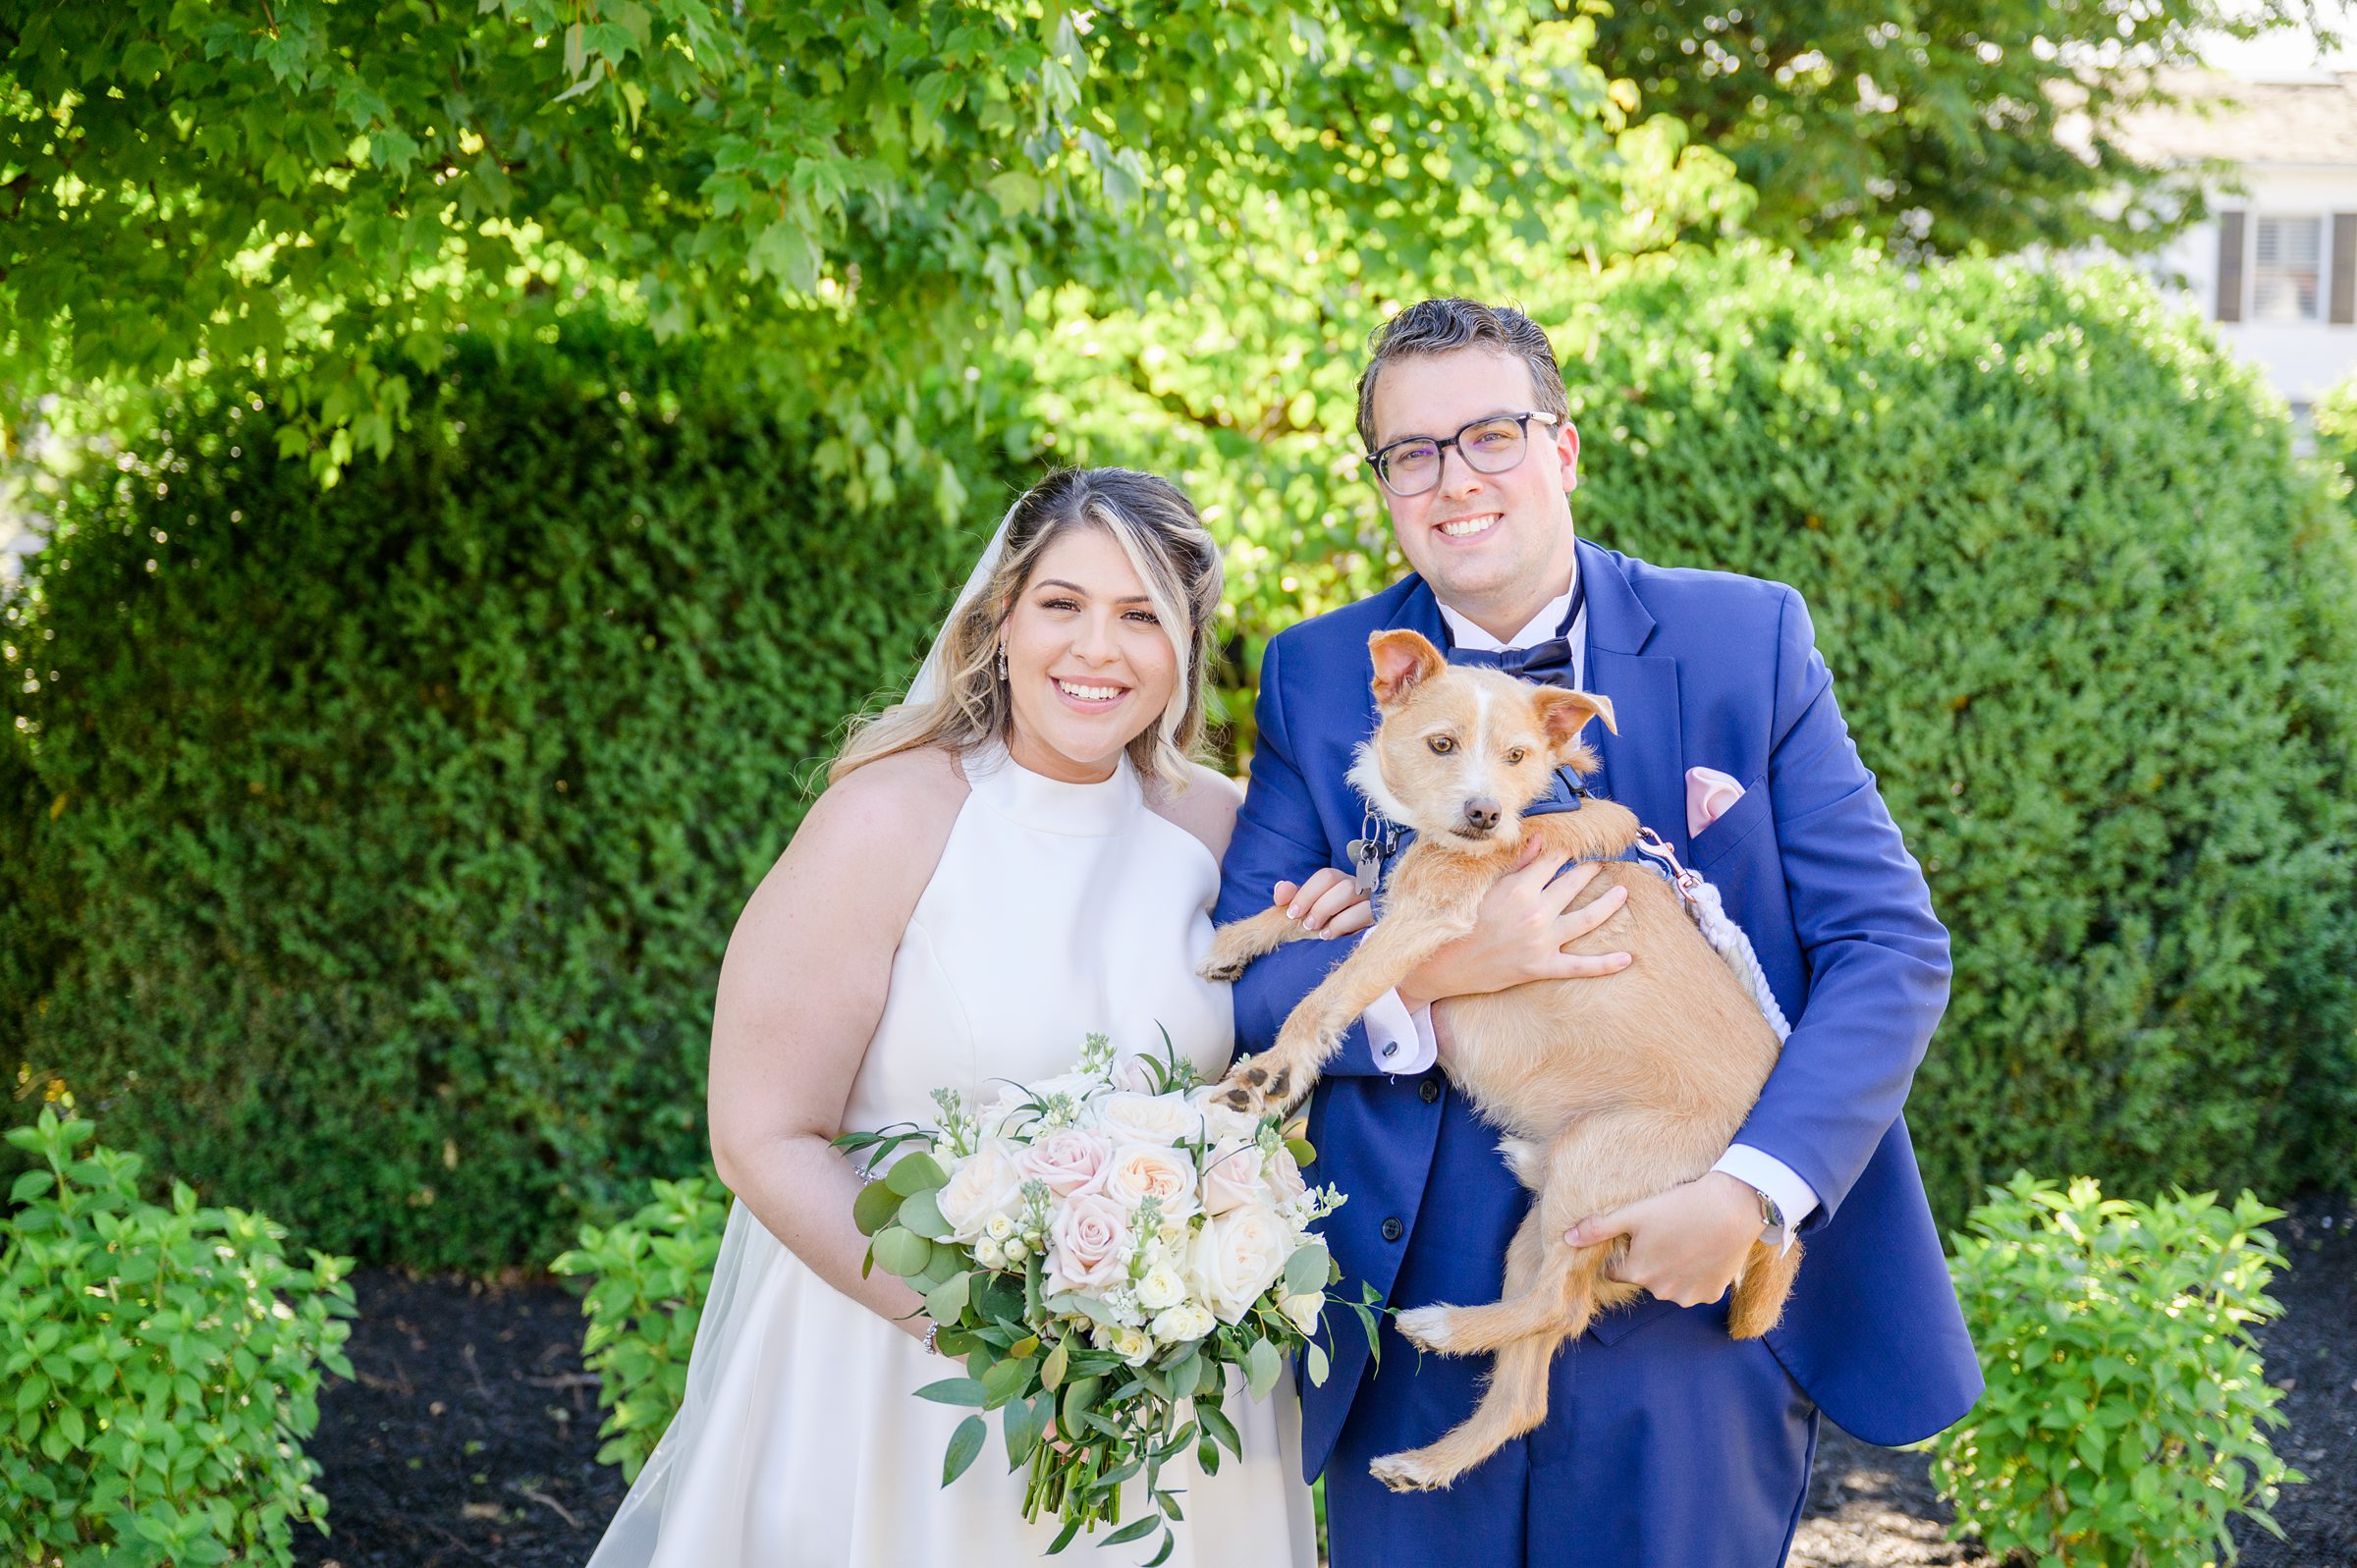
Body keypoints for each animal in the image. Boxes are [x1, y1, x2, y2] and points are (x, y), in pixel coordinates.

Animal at [1206, 622, 1791, 1489]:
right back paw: (1429, 1458)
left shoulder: (1425, 921)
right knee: (1527, 1389)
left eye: (1517, 755)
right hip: (1548, 1224)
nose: (1483, 813)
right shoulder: (1389, 900)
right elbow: (1327, 902)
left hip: (1592, 1167)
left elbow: (1333, 988)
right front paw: (1235, 939)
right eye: (1442, 743)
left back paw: (1443, 1326)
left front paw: (1270, 1073)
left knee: (1557, 1306)